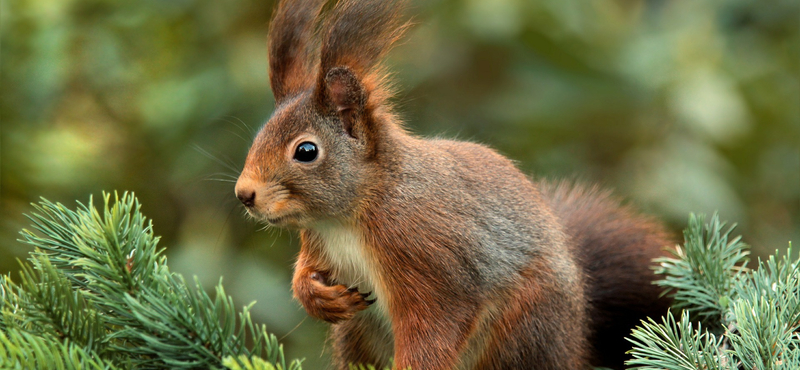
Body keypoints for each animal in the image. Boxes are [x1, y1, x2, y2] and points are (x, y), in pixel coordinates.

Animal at [234, 0, 672, 370]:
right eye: (259, 134)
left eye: (306, 151)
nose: (244, 195)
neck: (349, 216)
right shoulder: (317, 242)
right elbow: (304, 273)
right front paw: (317, 297)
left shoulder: (428, 260)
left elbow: (433, 331)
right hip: (357, 334)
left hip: (523, 326)